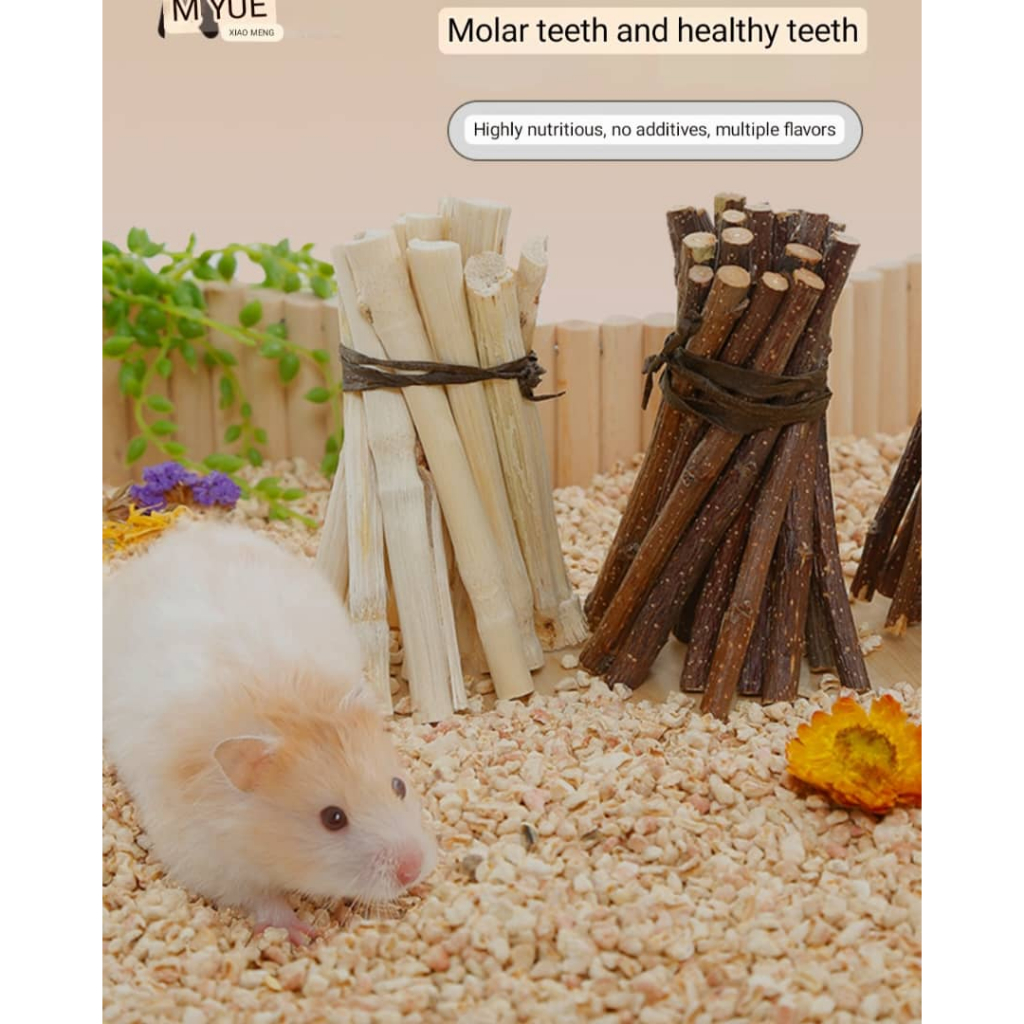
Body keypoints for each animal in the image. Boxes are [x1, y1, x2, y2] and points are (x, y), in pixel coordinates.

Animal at [103, 519, 437, 944]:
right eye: (333, 819)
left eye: (399, 786)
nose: (413, 868)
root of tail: (181, 535)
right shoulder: (204, 857)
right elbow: (261, 897)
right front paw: (300, 933)